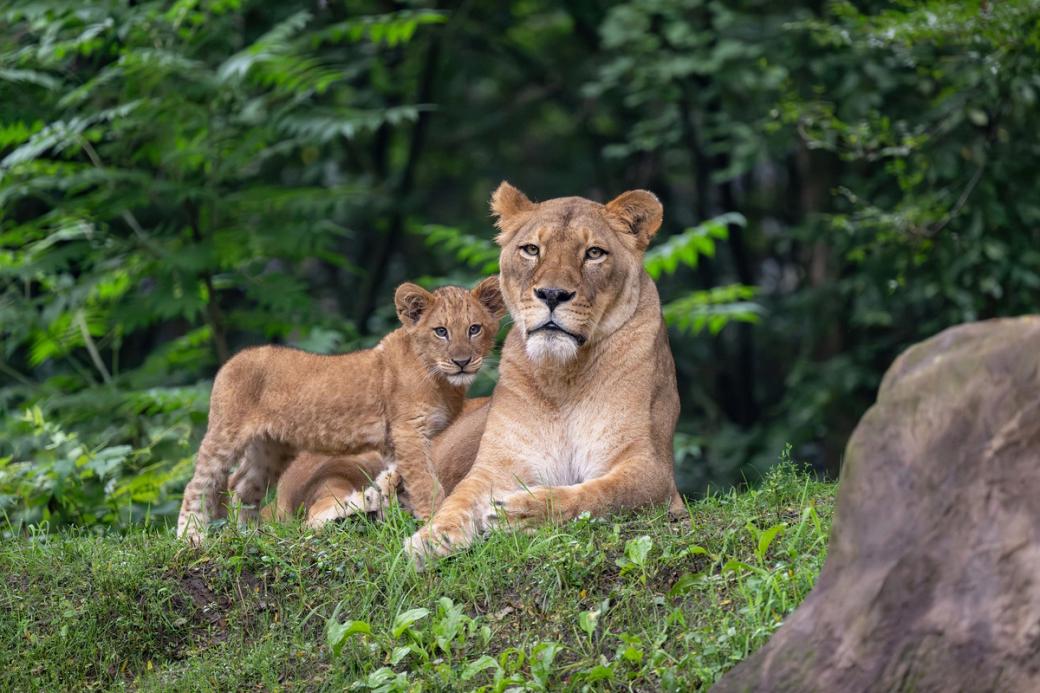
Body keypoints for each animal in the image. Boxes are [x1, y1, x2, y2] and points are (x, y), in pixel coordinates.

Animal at [176, 277, 505, 543]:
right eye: (441, 331)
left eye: (474, 329)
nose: (462, 361)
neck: (441, 380)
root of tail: (233, 359)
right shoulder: (409, 433)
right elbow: (425, 483)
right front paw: (432, 520)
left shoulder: (395, 443)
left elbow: (398, 483)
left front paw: (393, 518)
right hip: (227, 434)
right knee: (198, 485)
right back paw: (191, 538)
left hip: (270, 448)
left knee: (243, 486)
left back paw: (250, 535)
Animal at [404, 182, 683, 567]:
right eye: (532, 249)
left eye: (594, 253)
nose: (552, 294)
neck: (562, 377)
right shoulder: (497, 464)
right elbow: (460, 497)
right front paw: (432, 538)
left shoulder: (653, 470)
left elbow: (600, 494)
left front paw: (520, 513)